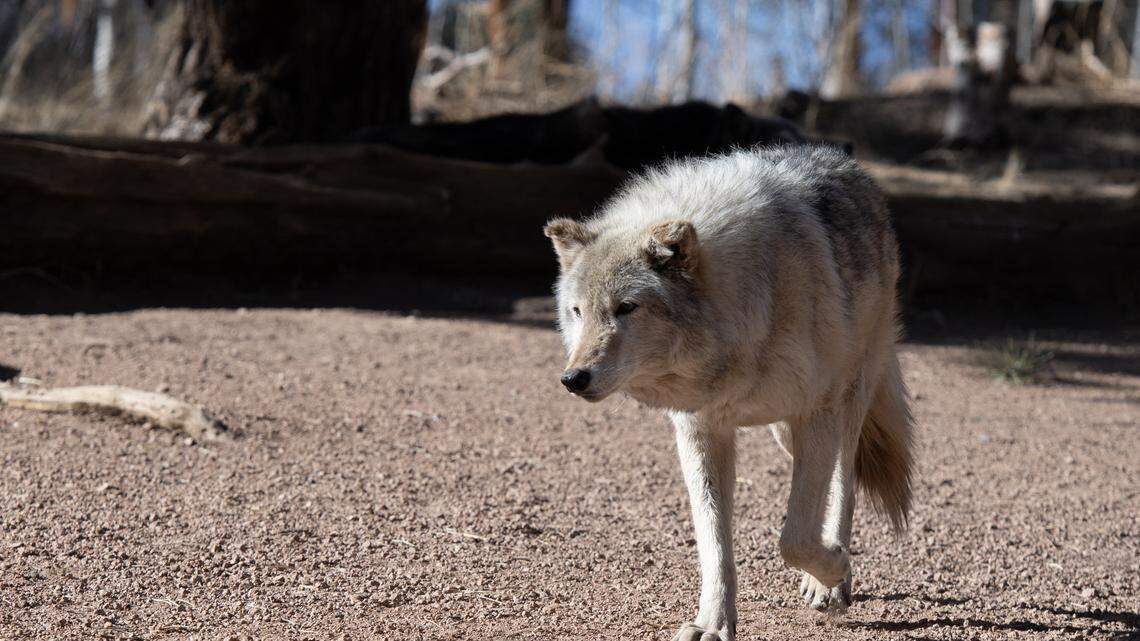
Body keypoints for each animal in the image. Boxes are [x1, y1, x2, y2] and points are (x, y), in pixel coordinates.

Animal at [544, 145, 914, 641]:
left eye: (626, 308)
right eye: (577, 311)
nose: (574, 378)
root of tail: (843, 160)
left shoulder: (815, 413)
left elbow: (793, 538)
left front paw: (834, 569)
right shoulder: (701, 431)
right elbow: (714, 544)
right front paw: (714, 623)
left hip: (845, 402)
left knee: (844, 484)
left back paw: (831, 581)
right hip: (785, 434)